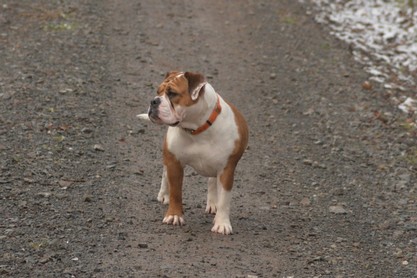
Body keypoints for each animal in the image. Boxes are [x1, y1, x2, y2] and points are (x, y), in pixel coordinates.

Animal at [136, 70, 247, 233]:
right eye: (158, 92)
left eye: (172, 93)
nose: (154, 101)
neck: (197, 129)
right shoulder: (174, 163)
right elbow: (176, 192)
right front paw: (174, 215)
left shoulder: (226, 170)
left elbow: (224, 200)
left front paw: (222, 223)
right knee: (165, 173)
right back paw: (163, 194)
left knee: (212, 181)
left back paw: (213, 204)